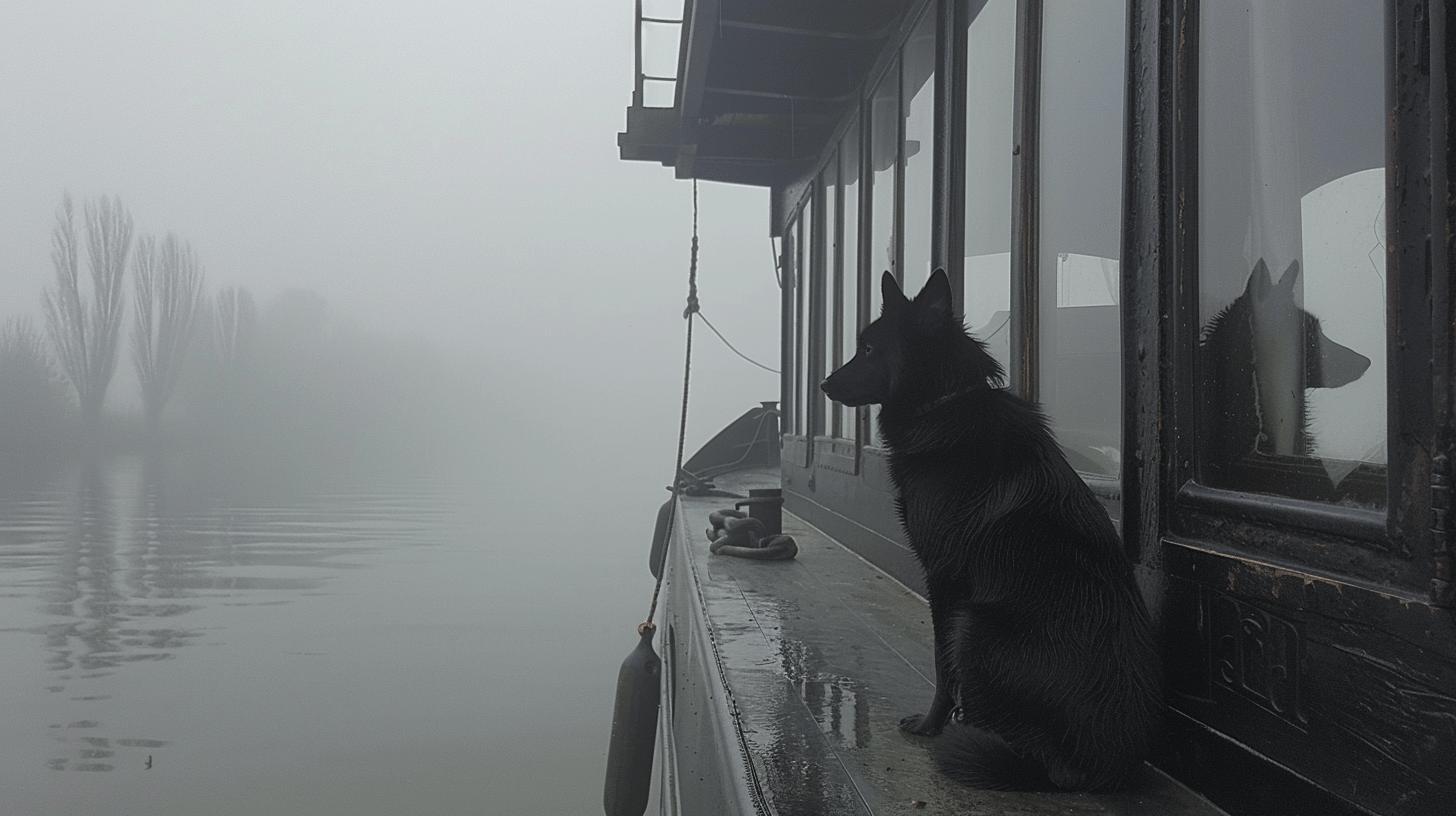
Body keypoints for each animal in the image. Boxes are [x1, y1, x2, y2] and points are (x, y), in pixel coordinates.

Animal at [821, 269, 1158, 792]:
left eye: (870, 349)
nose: (823, 384)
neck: (943, 403)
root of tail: (1102, 766)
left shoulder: (943, 577)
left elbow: (942, 664)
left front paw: (930, 725)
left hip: (975, 625)